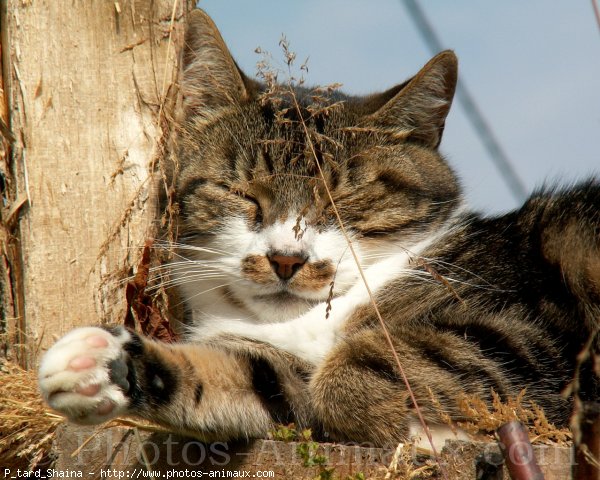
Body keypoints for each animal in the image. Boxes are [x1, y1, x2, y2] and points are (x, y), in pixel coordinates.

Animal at [38, 9, 600, 448]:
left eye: (341, 200)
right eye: (243, 194)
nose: (286, 260)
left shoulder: (527, 331)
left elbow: (362, 367)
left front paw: (431, 433)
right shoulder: (278, 365)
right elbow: (251, 377)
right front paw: (103, 365)